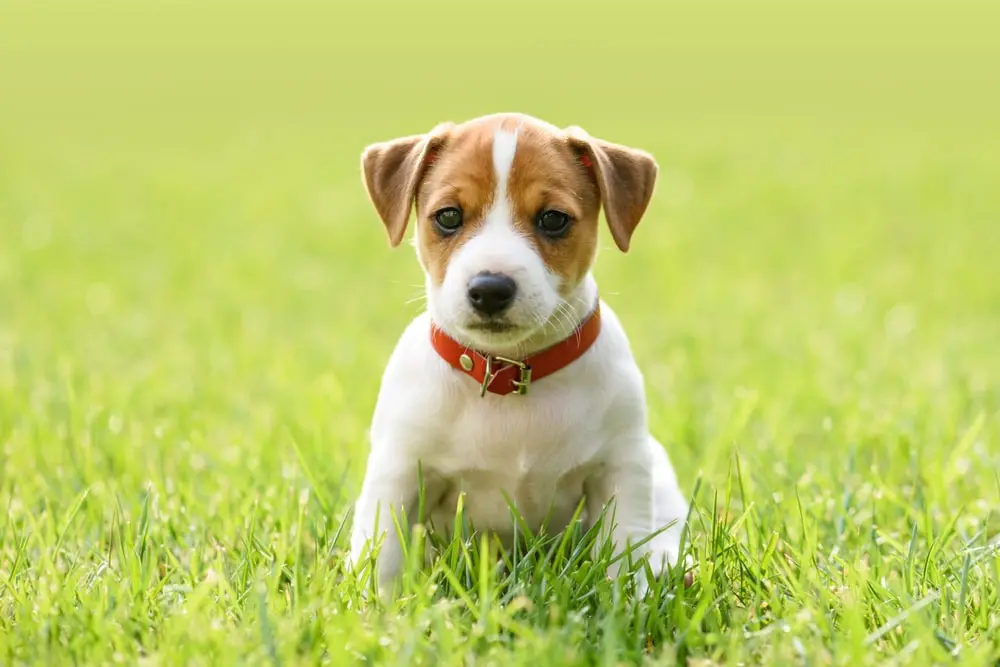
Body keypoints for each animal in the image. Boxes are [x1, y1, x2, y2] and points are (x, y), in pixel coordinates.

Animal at [350, 112, 688, 596]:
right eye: (448, 216)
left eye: (553, 219)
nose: (490, 289)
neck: (510, 372)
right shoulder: (398, 473)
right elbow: (384, 556)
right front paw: (380, 607)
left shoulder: (621, 467)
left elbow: (624, 549)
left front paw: (627, 600)